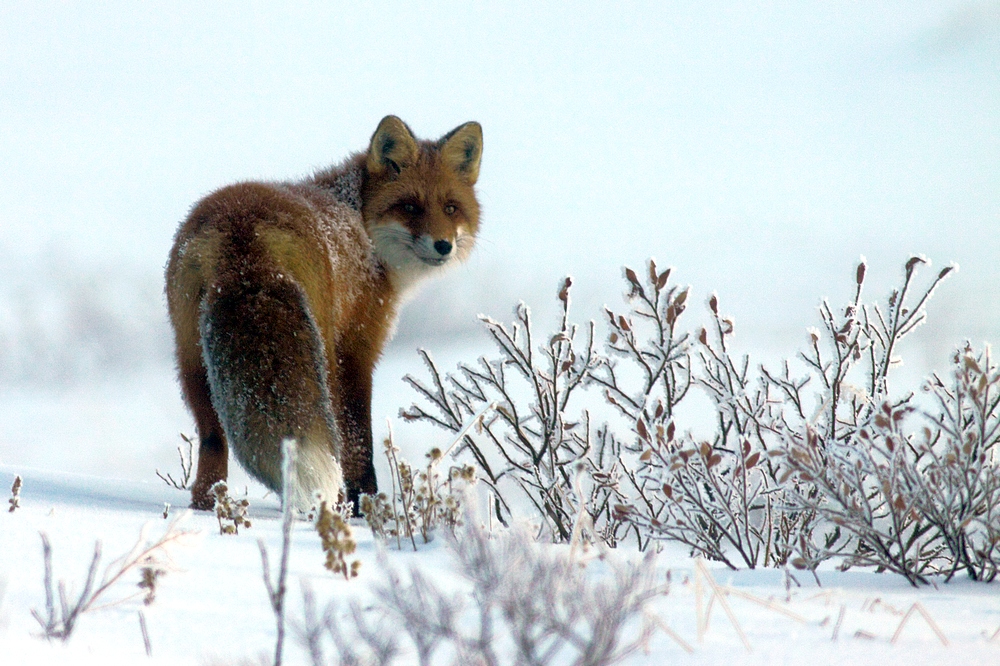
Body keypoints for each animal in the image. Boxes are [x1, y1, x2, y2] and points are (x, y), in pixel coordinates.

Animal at [165, 115, 484, 508]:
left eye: (451, 208)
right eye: (410, 206)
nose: (443, 245)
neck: (360, 221)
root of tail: (243, 235)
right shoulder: (356, 349)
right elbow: (358, 440)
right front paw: (367, 506)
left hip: (192, 360)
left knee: (212, 441)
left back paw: (208, 507)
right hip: (320, 353)